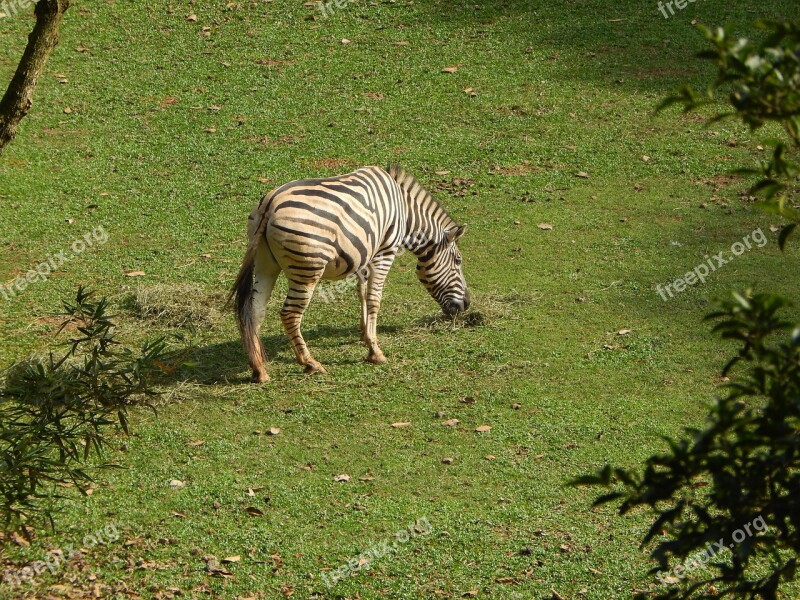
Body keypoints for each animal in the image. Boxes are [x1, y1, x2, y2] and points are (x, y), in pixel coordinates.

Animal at [230, 164, 468, 382]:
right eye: (458, 261)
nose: (466, 305)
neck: (406, 212)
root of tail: (270, 203)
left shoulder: (366, 252)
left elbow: (361, 292)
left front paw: (364, 334)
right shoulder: (385, 252)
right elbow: (374, 299)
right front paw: (375, 351)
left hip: (265, 262)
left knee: (255, 310)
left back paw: (259, 370)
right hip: (307, 269)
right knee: (290, 314)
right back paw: (310, 363)